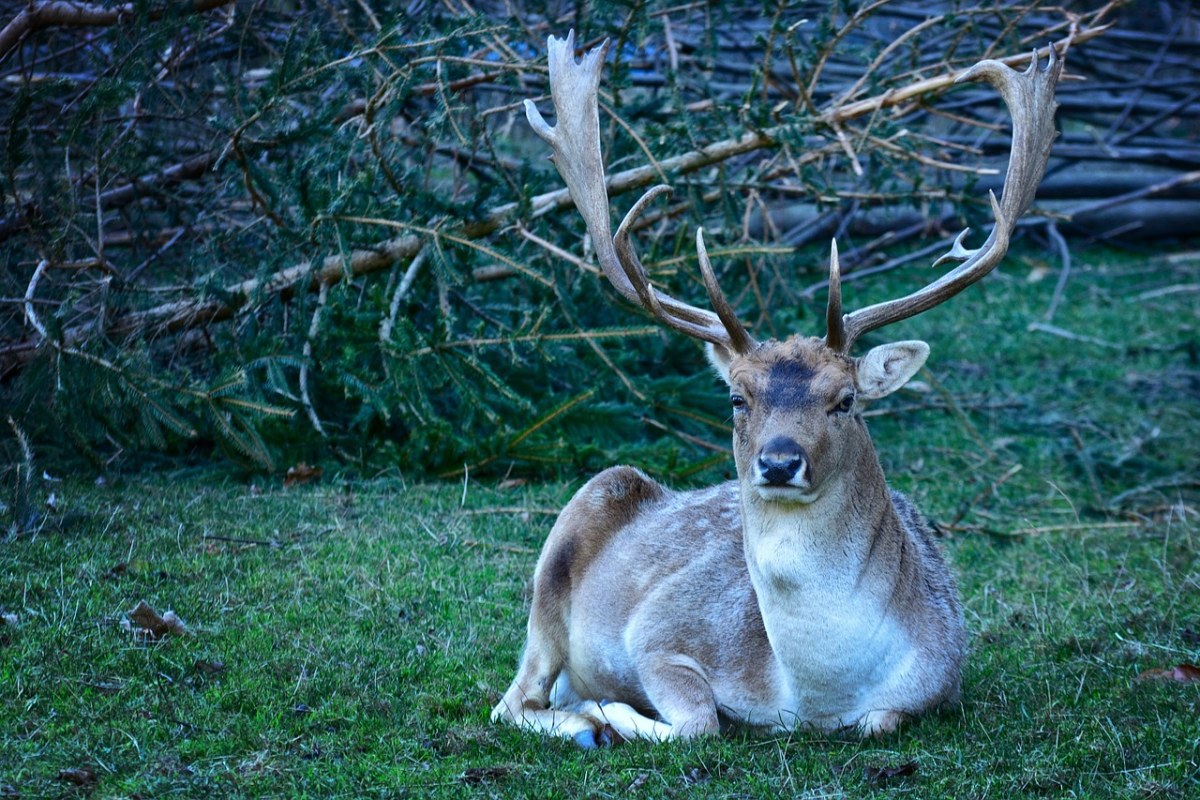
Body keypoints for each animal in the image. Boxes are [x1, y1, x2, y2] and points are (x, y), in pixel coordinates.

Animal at [487, 29, 1060, 743]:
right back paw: (585, 719)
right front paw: (611, 710)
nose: (780, 462)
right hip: (564, 546)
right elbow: (701, 720)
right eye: (738, 397)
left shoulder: (942, 680)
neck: (814, 695)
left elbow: (881, 722)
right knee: (512, 699)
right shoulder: (659, 635)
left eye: (846, 401)